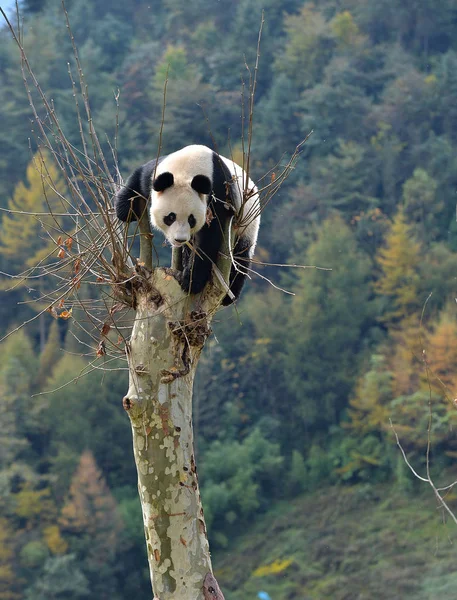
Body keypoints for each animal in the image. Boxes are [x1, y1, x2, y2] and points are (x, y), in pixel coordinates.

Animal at [114, 145, 260, 304]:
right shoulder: (156, 172)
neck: (186, 169)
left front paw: (191, 281)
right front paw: (125, 210)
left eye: (191, 219)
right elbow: (139, 178)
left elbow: (209, 238)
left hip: (247, 225)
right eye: (171, 217)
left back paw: (229, 295)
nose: (180, 239)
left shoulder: (218, 195)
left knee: (240, 257)